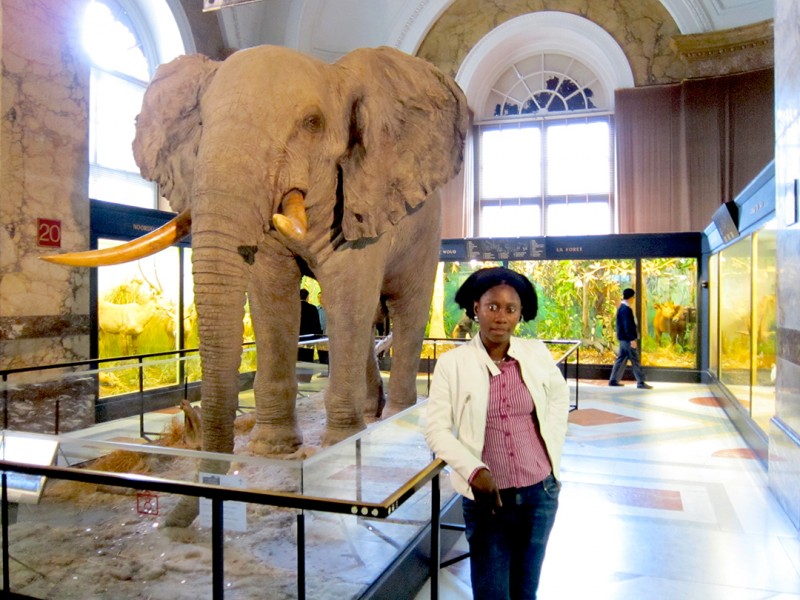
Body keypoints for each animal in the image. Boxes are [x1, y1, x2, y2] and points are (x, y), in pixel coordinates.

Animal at [43, 45, 468, 524]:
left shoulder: (359, 196)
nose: (181, 518)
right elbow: (272, 294)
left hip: (424, 228)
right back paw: (371, 415)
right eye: (202, 124)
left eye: (312, 123)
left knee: (404, 307)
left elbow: (347, 292)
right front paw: (275, 451)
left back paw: (396, 420)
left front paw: (339, 451)